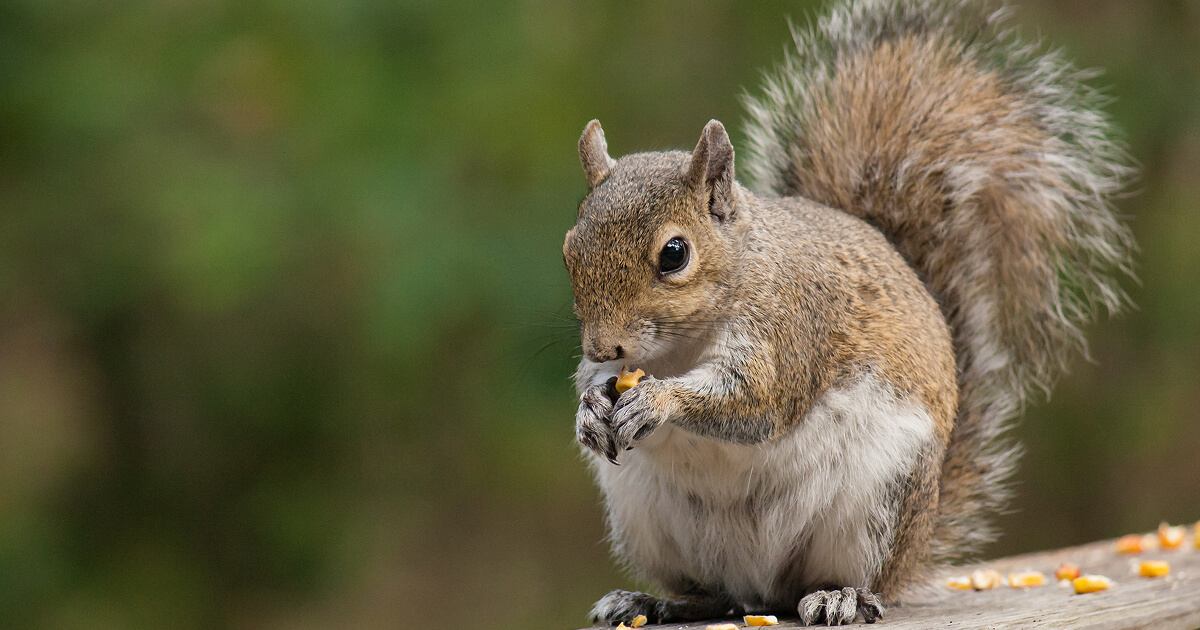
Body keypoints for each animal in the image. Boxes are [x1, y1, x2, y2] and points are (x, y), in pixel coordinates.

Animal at [564, 0, 1134, 626]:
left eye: (674, 254)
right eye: (569, 249)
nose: (603, 347)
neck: (681, 344)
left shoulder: (791, 329)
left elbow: (754, 402)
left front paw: (658, 400)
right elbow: (597, 388)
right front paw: (590, 410)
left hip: (878, 505)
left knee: (848, 579)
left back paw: (840, 595)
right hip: (648, 518)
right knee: (713, 593)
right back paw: (651, 600)